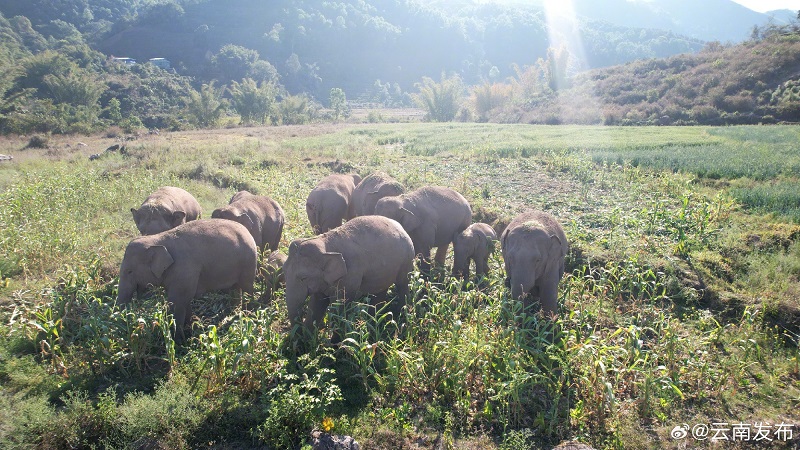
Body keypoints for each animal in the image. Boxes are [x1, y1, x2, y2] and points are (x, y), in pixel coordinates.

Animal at [116, 220, 256, 340]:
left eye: (129, 271)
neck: (157, 239)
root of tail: (247, 231)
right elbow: (184, 300)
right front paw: (193, 326)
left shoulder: (184, 270)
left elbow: (177, 302)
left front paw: (177, 340)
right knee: (234, 288)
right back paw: (234, 312)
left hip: (248, 261)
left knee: (247, 287)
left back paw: (247, 314)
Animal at [284, 214, 416, 326]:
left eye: (303, 278)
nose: (299, 323)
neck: (325, 243)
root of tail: (401, 227)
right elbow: (317, 302)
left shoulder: (350, 275)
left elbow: (339, 307)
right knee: (381, 290)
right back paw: (375, 320)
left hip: (407, 259)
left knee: (402, 283)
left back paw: (400, 314)